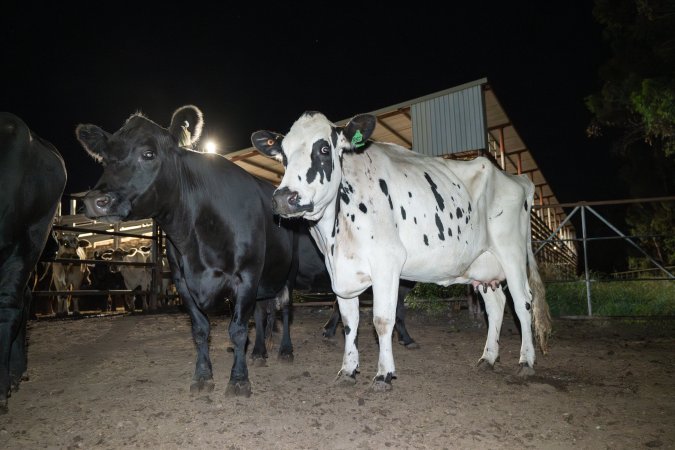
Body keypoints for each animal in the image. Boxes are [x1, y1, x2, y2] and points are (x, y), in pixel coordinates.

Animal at [75, 106, 302, 398]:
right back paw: (260, 352)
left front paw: (239, 379)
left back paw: (284, 350)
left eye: (148, 154)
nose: (95, 201)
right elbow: (200, 330)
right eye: (104, 159)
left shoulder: (247, 275)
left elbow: (239, 329)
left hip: (289, 271)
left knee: (284, 308)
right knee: (263, 312)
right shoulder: (182, 282)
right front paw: (203, 376)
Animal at [251, 111, 552, 390]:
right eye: (283, 156)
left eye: (324, 149)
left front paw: (384, 374)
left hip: (511, 253)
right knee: (496, 305)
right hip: (483, 265)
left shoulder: (387, 262)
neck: (335, 233)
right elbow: (350, 322)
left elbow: (383, 320)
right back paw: (488, 358)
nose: (284, 198)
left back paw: (526, 361)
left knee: (523, 303)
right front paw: (348, 370)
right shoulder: (341, 272)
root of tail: (516, 179)